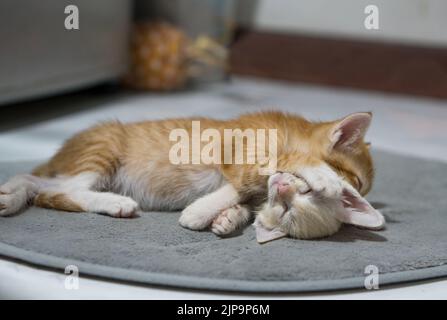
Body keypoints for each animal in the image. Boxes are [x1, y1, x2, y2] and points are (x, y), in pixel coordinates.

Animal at [0, 110, 384, 240]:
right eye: (358, 182)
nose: (356, 195)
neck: (287, 130)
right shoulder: (246, 157)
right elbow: (265, 172)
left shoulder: (251, 179)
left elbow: (244, 196)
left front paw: (227, 218)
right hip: (102, 150)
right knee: (56, 191)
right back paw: (115, 202)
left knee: (42, 186)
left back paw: (11, 194)